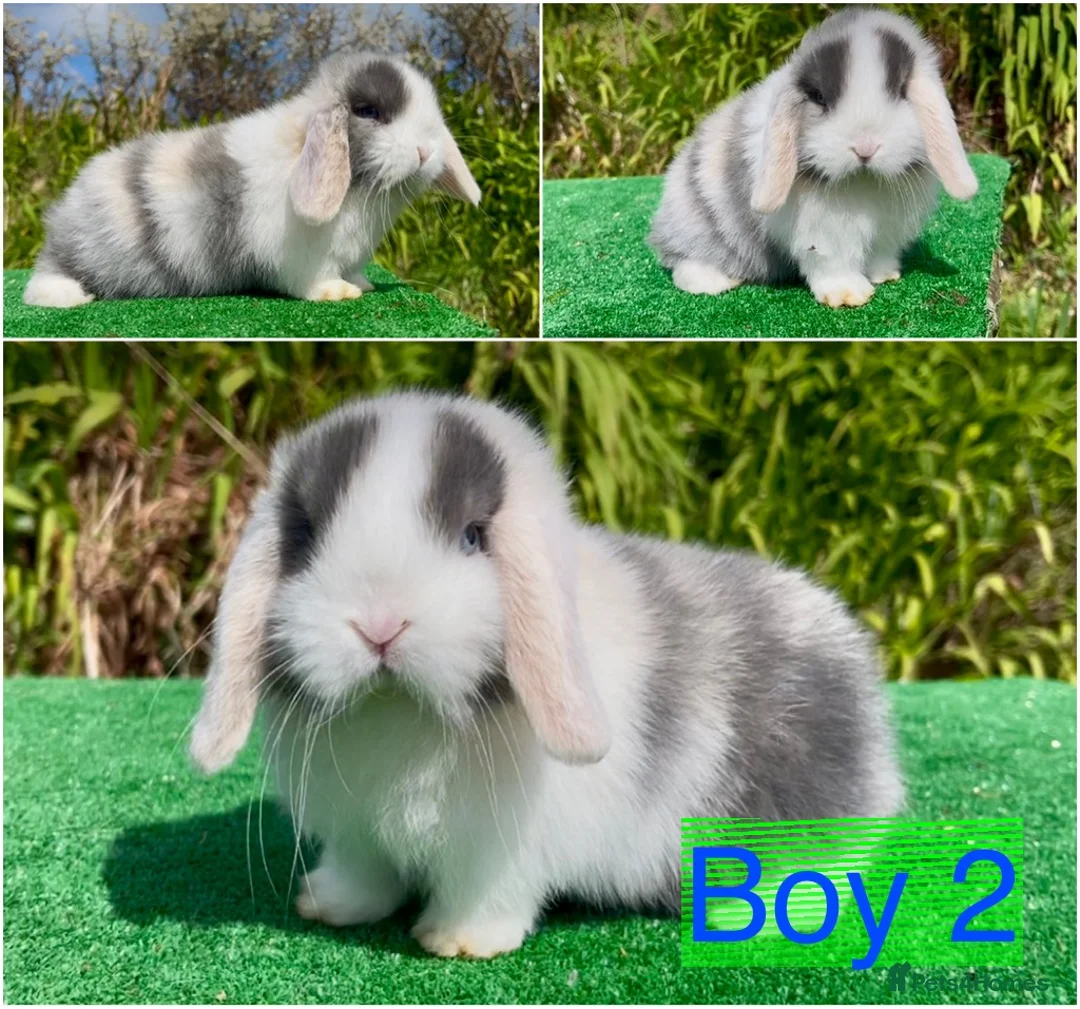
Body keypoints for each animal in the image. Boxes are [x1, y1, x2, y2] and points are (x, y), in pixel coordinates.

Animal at [23, 52, 480, 308]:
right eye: (368, 112)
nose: (425, 152)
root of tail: (64, 209)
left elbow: (354, 270)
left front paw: (361, 285)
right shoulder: (303, 257)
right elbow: (312, 280)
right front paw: (338, 293)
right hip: (76, 254)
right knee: (45, 276)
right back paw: (67, 299)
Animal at [190, 390, 904, 959]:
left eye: (474, 537)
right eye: (307, 536)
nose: (381, 625)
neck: (400, 712)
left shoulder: (497, 851)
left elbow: (484, 895)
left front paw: (458, 943)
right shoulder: (357, 833)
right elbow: (363, 875)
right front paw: (327, 907)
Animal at [649, 6, 978, 308]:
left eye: (901, 91)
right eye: (819, 97)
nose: (865, 147)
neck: (862, 182)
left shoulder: (887, 230)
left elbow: (881, 252)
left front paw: (885, 275)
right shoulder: (820, 235)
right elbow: (831, 262)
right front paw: (848, 296)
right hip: (694, 230)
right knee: (683, 264)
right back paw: (717, 282)